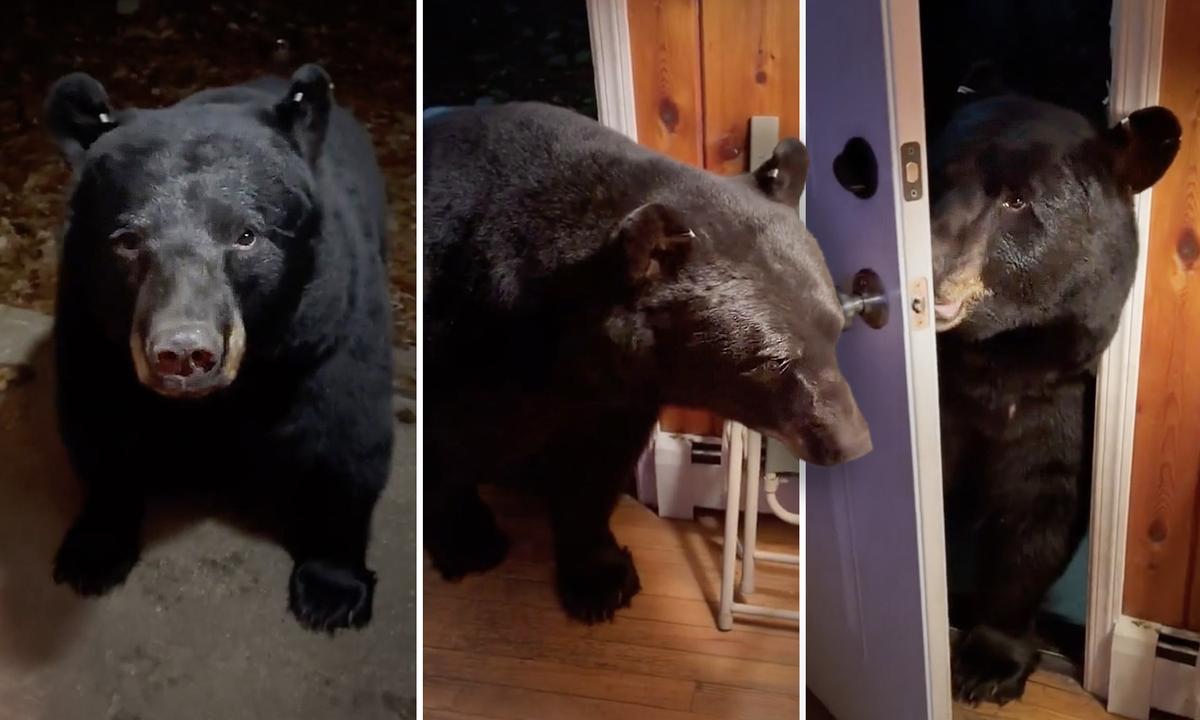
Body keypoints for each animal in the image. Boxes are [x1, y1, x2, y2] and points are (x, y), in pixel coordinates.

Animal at [43, 64, 394, 633]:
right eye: (127, 240)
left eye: (245, 235)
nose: (184, 352)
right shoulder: (91, 328)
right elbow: (99, 428)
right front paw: (93, 552)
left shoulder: (329, 327)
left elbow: (346, 440)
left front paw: (331, 591)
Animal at [423, 102, 871, 623]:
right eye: (772, 360)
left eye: (836, 328)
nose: (853, 442)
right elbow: (444, 452)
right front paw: (471, 543)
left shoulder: (617, 396)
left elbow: (597, 464)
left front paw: (601, 577)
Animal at [929, 93, 1180, 704]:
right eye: (935, 177)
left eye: (1016, 198)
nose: (929, 262)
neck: (1000, 363)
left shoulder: (1062, 402)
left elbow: (1039, 508)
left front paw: (989, 662)